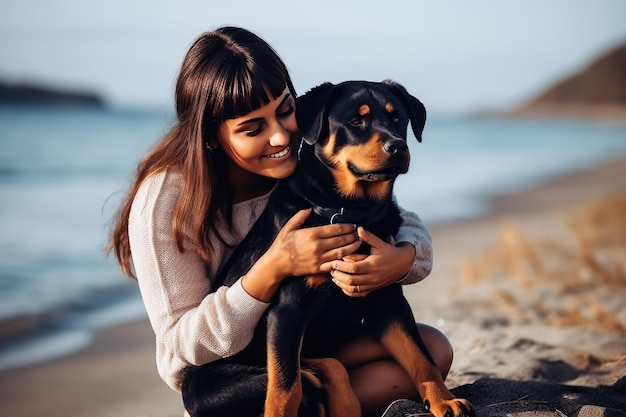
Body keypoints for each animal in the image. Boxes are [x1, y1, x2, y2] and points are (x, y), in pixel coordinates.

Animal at [183, 80, 470, 416]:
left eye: (398, 119)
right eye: (355, 122)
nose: (398, 146)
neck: (350, 210)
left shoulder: (387, 297)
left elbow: (420, 356)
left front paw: (443, 400)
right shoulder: (287, 310)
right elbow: (284, 388)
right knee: (305, 378)